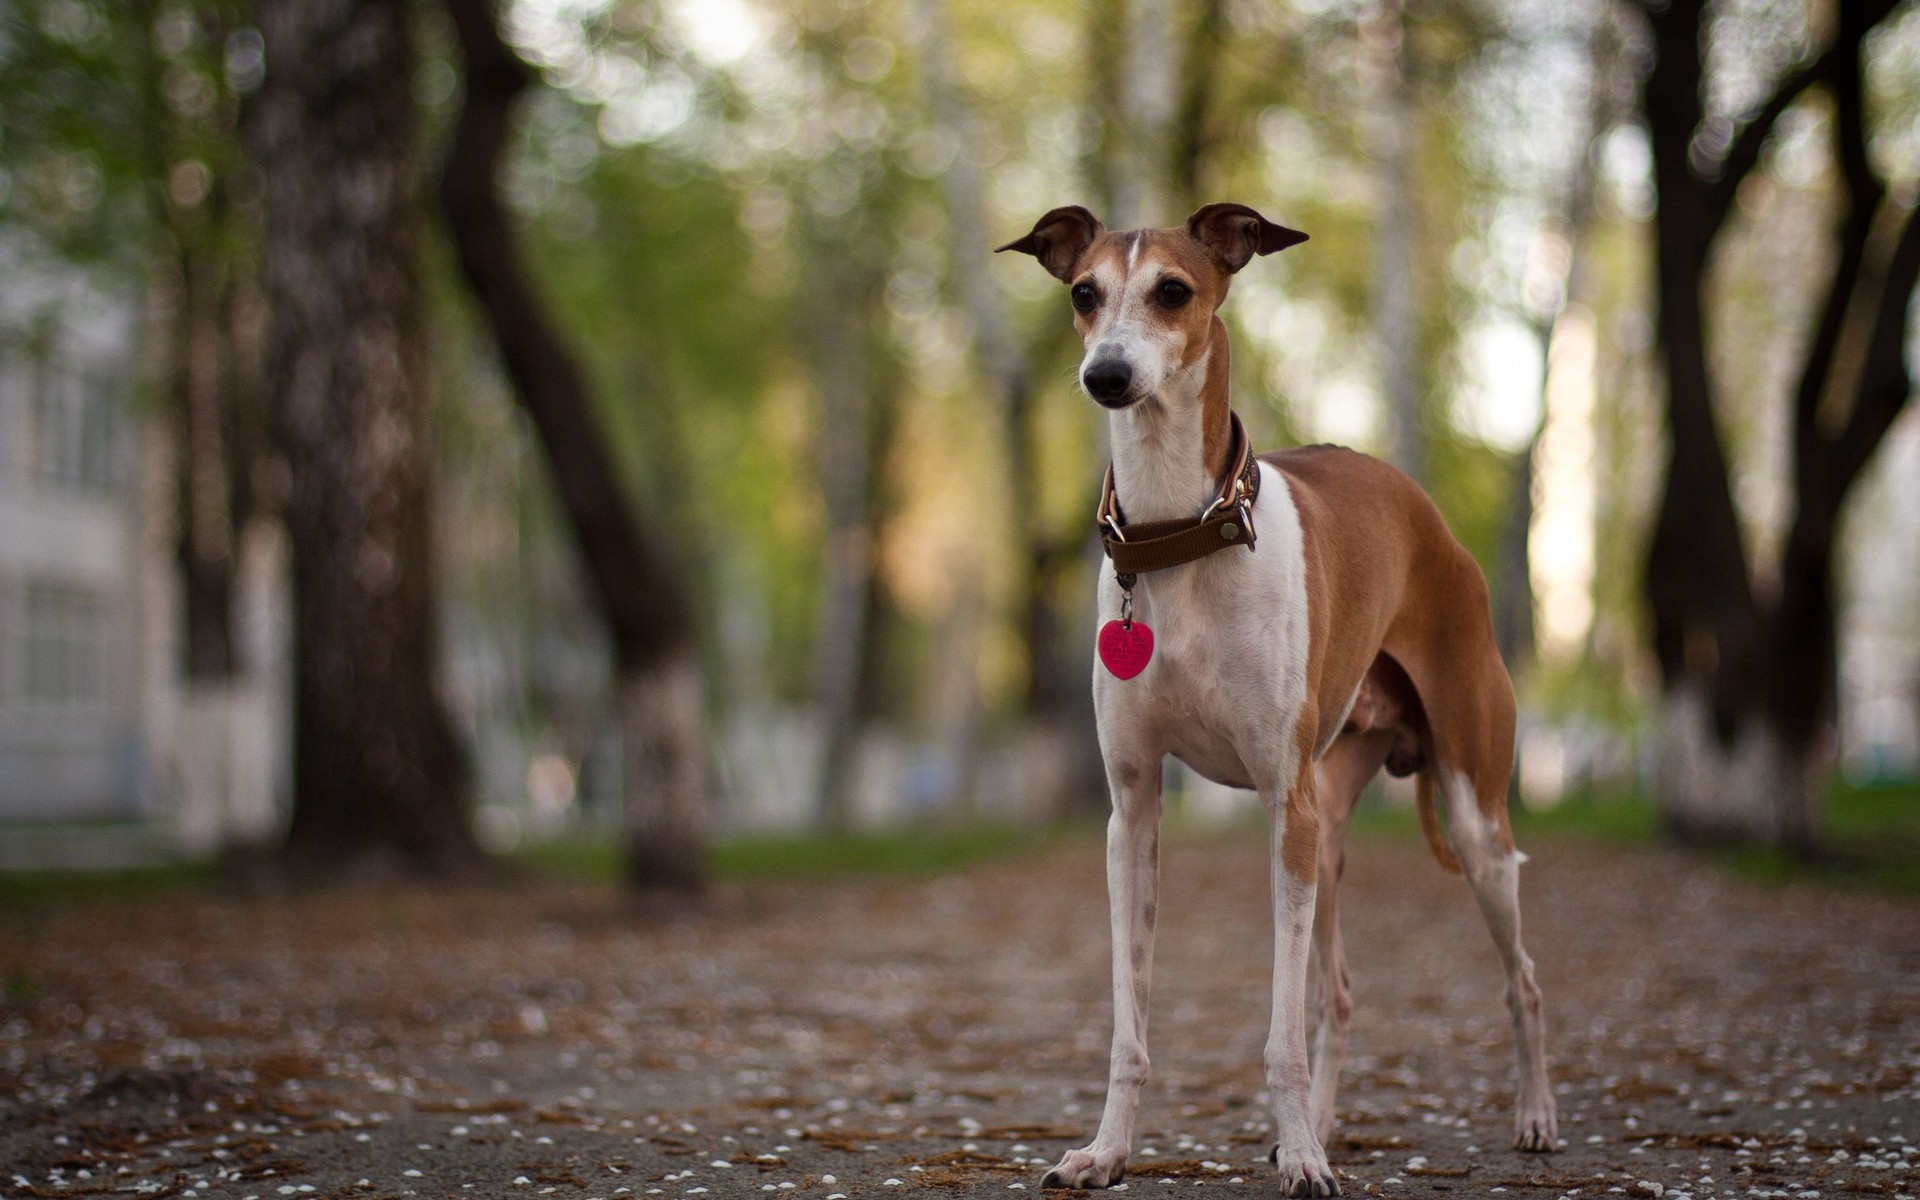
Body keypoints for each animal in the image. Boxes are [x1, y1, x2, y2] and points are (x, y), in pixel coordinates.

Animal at [998, 201, 1551, 1190]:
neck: (1178, 537)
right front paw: (1106, 1150)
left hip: (1466, 818)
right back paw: (1324, 1126)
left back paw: (1531, 1117)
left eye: (1173, 291)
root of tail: (1427, 515)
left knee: (1519, 977)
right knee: (1338, 994)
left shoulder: (1279, 810)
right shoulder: (1133, 812)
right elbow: (1131, 1022)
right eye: (1084, 294)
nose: (1107, 376)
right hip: (1327, 832)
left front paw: (1300, 1160)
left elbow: (1279, 1035)